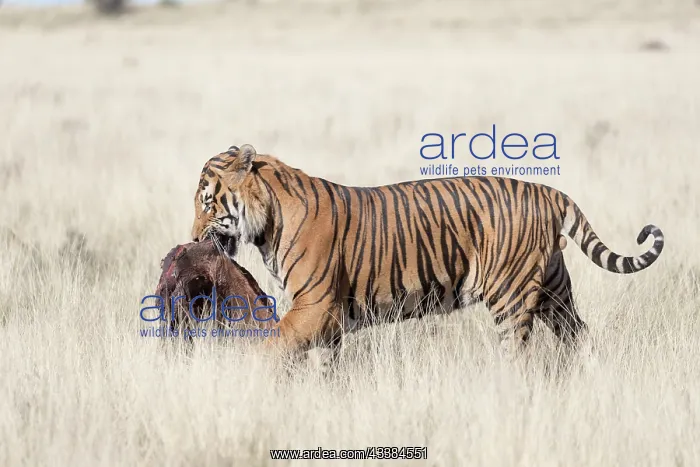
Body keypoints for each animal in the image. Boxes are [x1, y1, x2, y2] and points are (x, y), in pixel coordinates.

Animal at [190, 144, 664, 364]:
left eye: (207, 203)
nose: (193, 238)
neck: (268, 222)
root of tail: (548, 190)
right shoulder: (326, 319)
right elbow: (324, 363)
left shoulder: (314, 305)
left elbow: (270, 345)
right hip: (554, 291)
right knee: (579, 335)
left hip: (511, 297)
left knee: (518, 354)